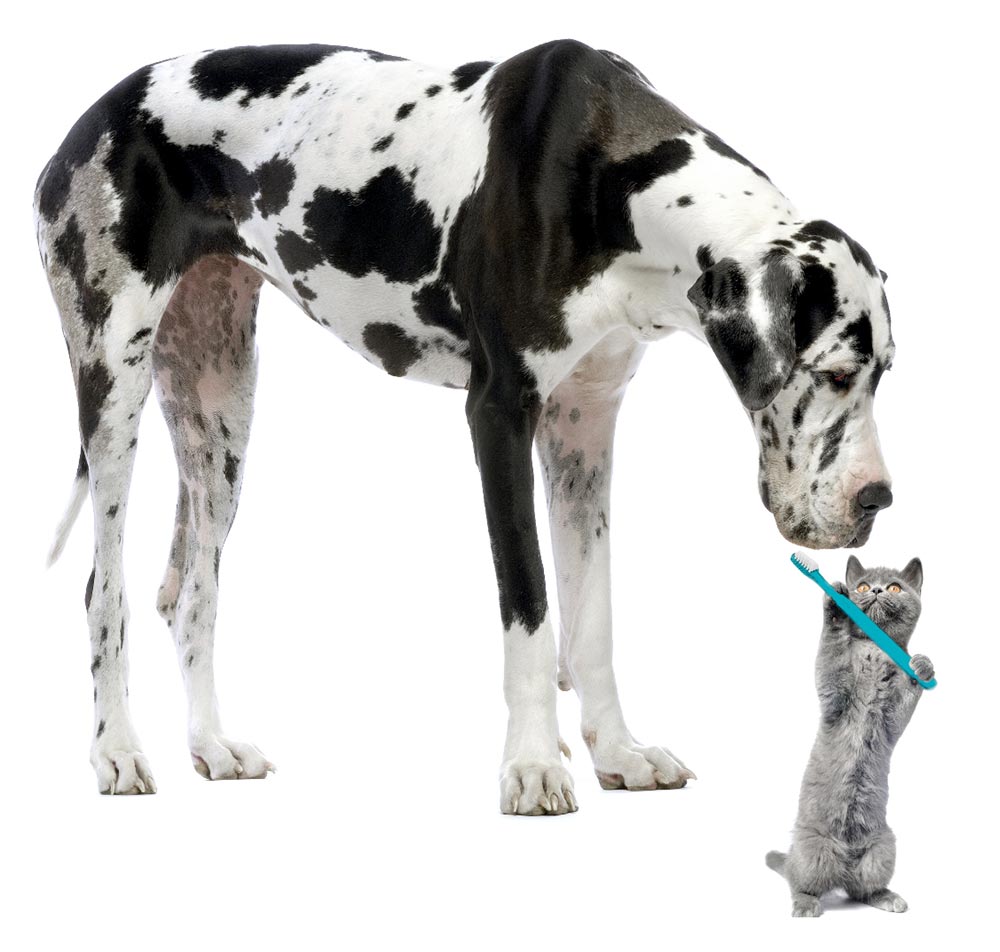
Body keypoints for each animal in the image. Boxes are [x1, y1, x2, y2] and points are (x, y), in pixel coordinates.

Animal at [35, 37, 896, 812]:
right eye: (835, 372)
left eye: (885, 374)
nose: (876, 500)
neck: (612, 178)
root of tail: (90, 119)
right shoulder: (500, 418)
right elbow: (531, 608)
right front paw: (533, 767)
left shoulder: (585, 426)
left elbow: (592, 617)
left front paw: (618, 753)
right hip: (115, 389)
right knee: (103, 590)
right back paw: (117, 750)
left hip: (219, 405)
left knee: (192, 593)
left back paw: (211, 745)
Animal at [764, 556, 936, 920]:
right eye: (861, 586)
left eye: (895, 588)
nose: (875, 590)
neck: (874, 649)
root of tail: (844, 864)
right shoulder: (835, 695)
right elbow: (831, 654)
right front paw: (834, 605)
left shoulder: (891, 721)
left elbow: (905, 695)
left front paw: (923, 667)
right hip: (813, 851)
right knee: (799, 883)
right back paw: (805, 905)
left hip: (883, 849)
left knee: (863, 890)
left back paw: (888, 898)